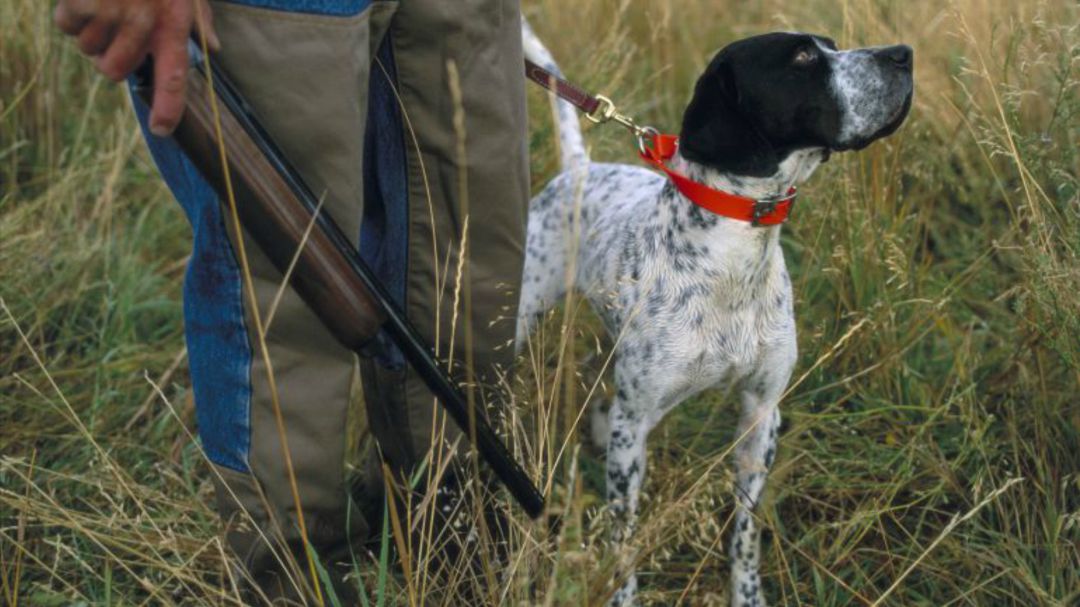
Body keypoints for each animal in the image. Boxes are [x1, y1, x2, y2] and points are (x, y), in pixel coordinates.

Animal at [514, 20, 911, 604]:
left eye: (832, 45)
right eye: (801, 57)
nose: (904, 54)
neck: (733, 259)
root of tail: (581, 171)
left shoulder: (760, 414)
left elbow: (745, 532)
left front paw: (747, 595)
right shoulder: (636, 427)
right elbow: (623, 536)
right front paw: (623, 595)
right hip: (524, 316)